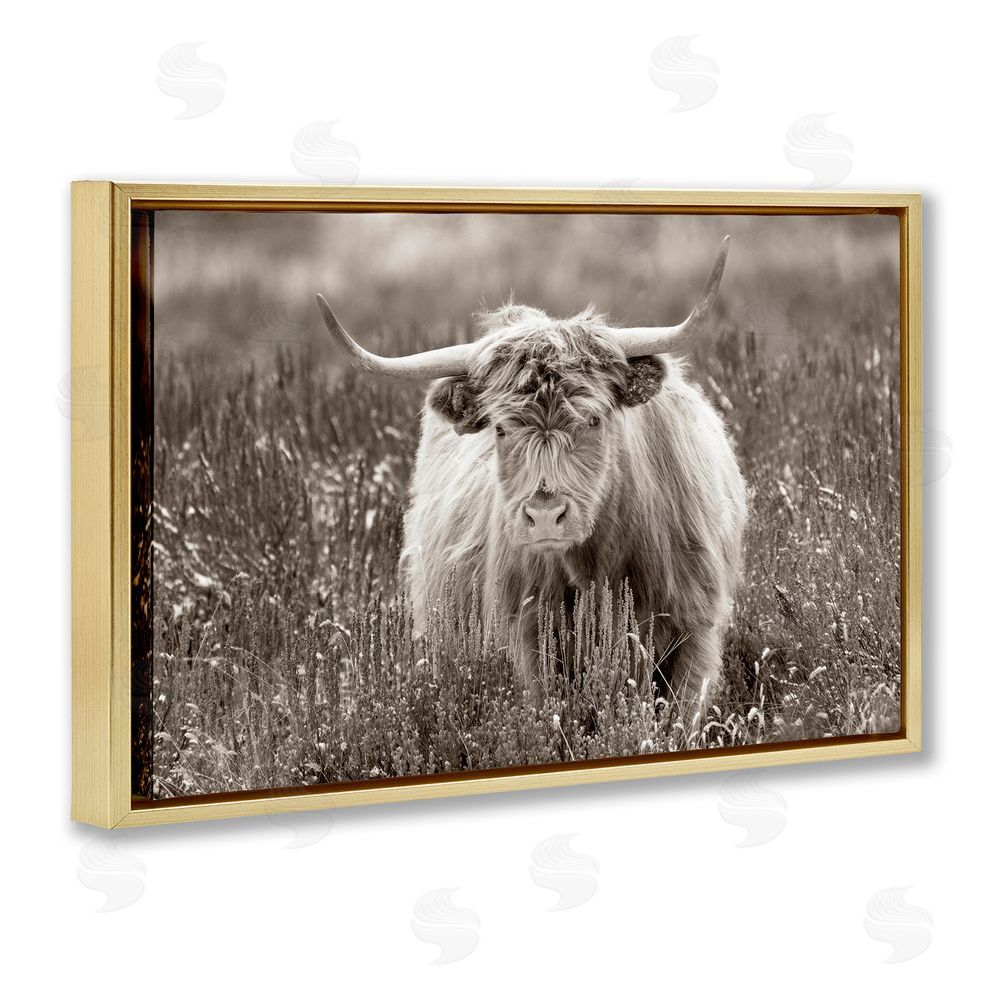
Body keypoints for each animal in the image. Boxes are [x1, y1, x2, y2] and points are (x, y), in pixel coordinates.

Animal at [315, 236, 746, 709]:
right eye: (501, 428)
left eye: (593, 419)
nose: (544, 516)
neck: (599, 567)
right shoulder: (529, 641)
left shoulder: (694, 631)